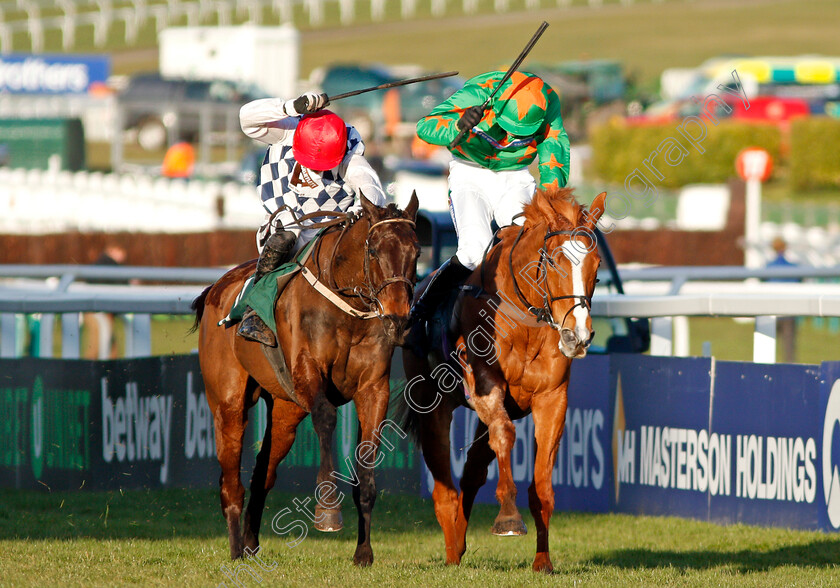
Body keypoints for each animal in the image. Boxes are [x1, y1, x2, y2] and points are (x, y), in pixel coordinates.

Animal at [192, 193, 418, 564]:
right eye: (373, 251)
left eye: (416, 251)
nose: (398, 318)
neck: (348, 309)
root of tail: (216, 288)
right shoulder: (307, 373)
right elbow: (326, 417)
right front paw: (327, 511)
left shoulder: (374, 389)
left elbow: (366, 466)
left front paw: (364, 551)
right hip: (227, 402)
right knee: (231, 481)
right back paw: (237, 549)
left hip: (286, 410)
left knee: (263, 473)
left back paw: (251, 543)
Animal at [398, 187, 604, 568]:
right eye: (556, 261)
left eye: (596, 266)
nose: (578, 336)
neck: (524, 319)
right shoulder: (483, 386)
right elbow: (506, 435)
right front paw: (508, 517)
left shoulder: (552, 398)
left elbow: (541, 485)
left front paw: (543, 562)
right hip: (432, 406)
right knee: (444, 489)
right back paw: (451, 552)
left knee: (473, 470)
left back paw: (459, 544)